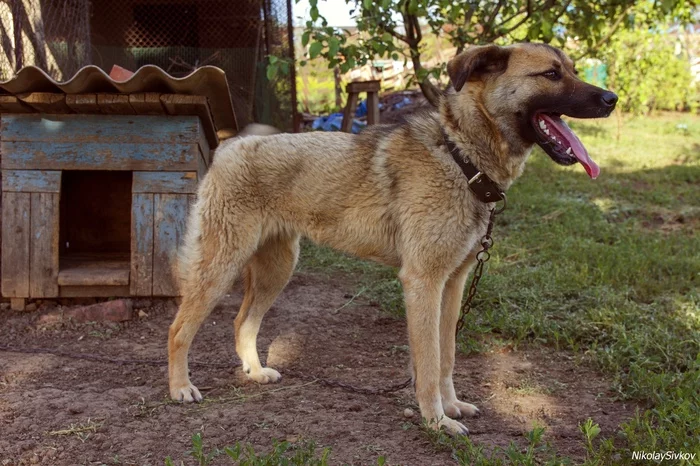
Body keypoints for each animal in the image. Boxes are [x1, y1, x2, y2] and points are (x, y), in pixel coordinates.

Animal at [168, 41, 616, 436]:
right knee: (178, 330)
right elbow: (429, 362)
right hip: (219, 268)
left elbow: (447, 357)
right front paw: (437, 422)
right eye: (551, 74)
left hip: (276, 269)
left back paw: (255, 372)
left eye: (572, 69)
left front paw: (451, 406)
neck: (460, 156)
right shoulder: (423, 283)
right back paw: (180, 388)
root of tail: (233, 145)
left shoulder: (452, 285)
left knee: (243, 321)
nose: (611, 98)